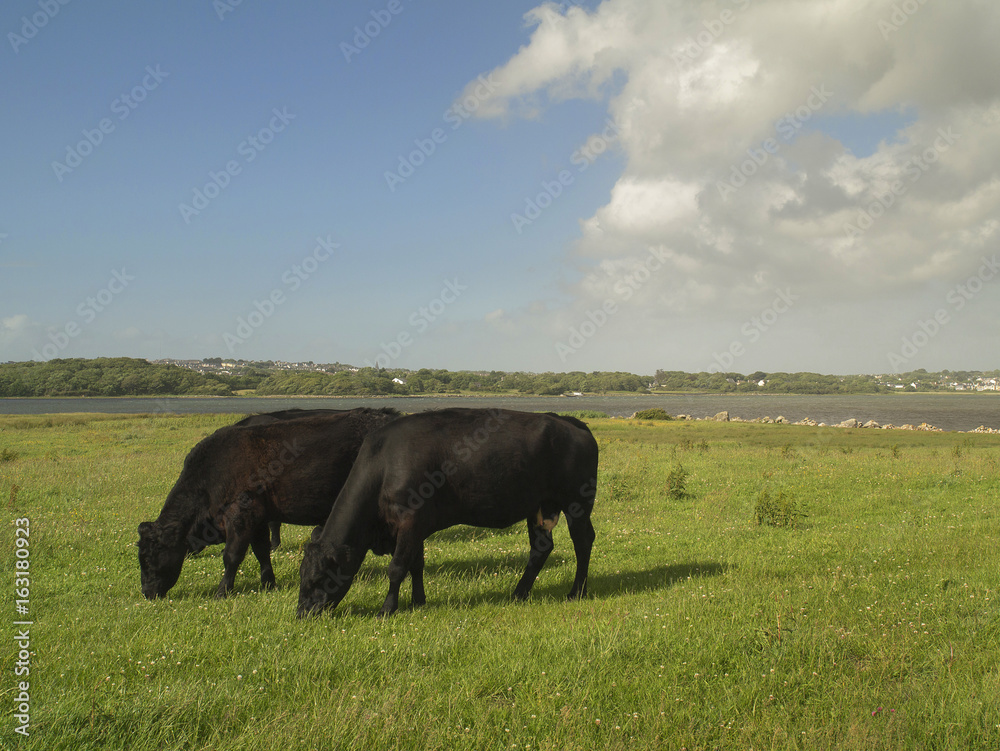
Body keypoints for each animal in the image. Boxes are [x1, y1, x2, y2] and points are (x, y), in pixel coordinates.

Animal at [138, 408, 402, 604]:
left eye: (149, 559)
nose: (146, 592)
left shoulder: (240, 514)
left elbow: (232, 556)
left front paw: (222, 591)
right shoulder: (258, 518)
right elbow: (261, 550)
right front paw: (268, 583)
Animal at [296, 408, 592, 620]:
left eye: (317, 579)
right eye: (301, 576)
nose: (302, 614)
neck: (384, 466)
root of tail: (569, 421)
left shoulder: (410, 521)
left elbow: (397, 568)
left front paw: (387, 609)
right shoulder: (414, 527)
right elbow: (416, 564)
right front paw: (418, 601)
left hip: (577, 503)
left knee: (583, 542)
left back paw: (576, 592)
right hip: (539, 507)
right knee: (541, 548)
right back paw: (519, 593)